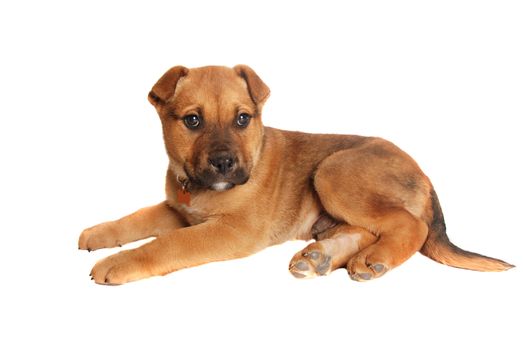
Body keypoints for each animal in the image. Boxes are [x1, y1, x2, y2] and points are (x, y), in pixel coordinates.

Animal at [79, 65, 516, 284]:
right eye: (192, 121)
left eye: (243, 119)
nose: (224, 164)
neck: (199, 189)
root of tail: (423, 174)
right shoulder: (177, 209)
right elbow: (137, 218)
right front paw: (98, 234)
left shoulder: (233, 230)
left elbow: (168, 244)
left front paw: (120, 263)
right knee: (370, 227)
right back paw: (322, 257)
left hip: (333, 170)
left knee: (410, 226)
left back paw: (375, 259)